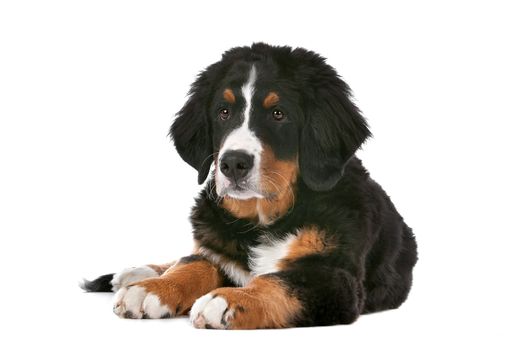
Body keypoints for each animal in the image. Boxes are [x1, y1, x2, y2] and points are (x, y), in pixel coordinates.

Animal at [81, 43, 418, 328]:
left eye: (279, 114)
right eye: (223, 112)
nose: (232, 164)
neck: (263, 219)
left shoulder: (336, 278)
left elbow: (278, 280)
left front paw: (229, 300)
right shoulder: (216, 246)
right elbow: (194, 263)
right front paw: (154, 288)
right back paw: (136, 274)